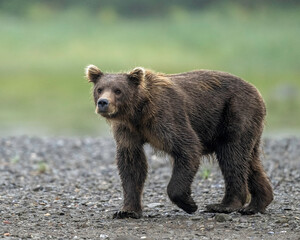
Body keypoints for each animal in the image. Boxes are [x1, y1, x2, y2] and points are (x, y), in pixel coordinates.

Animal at [85, 64, 274, 218]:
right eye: (100, 89)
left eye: (118, 90)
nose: (103, 103)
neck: (138, 112)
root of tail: (256, 90)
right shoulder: (128, 131)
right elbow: (132, 164)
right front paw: (127, 211)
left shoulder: (166, 117)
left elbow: (188, 147)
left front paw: (189, 204)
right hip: (249, 124)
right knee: (249, 160)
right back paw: (256, 204)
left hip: (236, 111)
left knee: (232, 155)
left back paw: (224, 205)